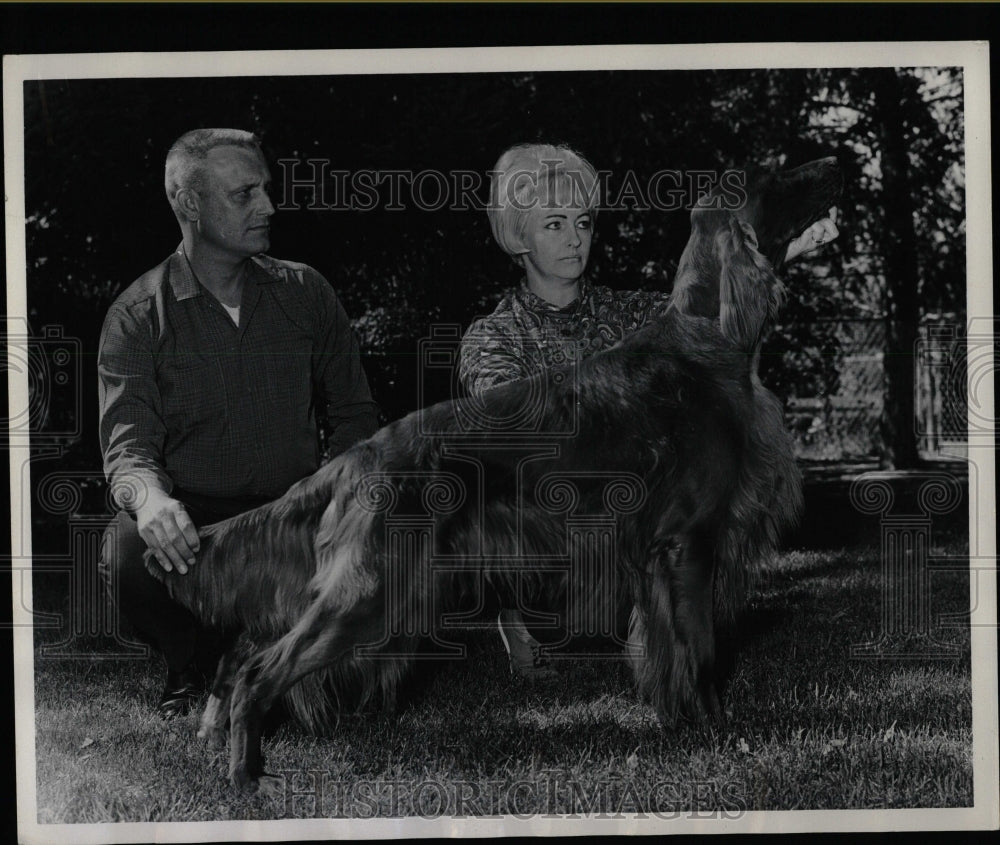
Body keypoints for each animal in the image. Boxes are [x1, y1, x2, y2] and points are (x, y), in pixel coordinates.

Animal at [150, 157, 844, 792]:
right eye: (778, 174)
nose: (837, 163)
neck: (707, 341)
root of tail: (358, 455)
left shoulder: (660, 559)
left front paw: (682, 723)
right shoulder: (688, 545)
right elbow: (700, 652)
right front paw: (718, 730)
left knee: (248, 649)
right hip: (374, 588)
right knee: (261, 671)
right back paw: (246, 778)